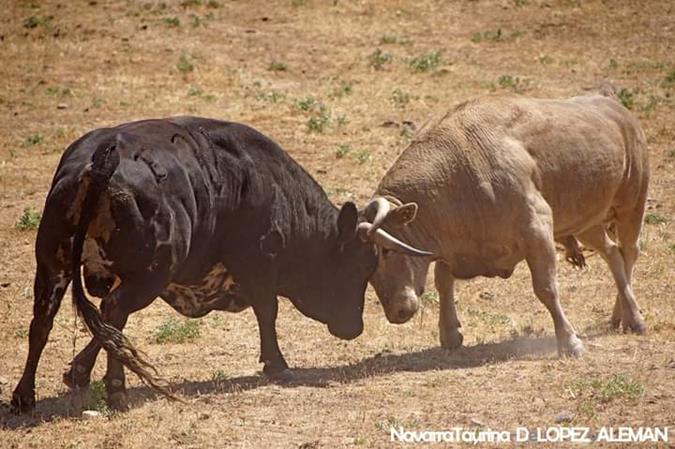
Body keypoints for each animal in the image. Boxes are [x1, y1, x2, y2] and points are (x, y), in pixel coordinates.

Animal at [11, 117, 434, 412]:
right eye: (359, 268)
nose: (354, 328)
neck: (271, 188)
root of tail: (104, 157)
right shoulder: (258, 262)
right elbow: (268, 309)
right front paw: (276, 363)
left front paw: (77, 371)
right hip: (150, 272)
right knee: (113, 312)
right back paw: (117, 391)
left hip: (52, 265)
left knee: (45, 322)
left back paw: (23, 396)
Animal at [364, 86, 648, 356]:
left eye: (387, 250)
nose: (396, 312)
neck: (458, 171)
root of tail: (617, 108)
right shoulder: (449, 248)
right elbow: (443, 282)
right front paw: (450, 333)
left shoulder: (538, 230)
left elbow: (546, 288)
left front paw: (569, 341)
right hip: (587, 224)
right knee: (612, 253)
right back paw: (619, 315)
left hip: (632, 204)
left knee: (629, 252)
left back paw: (633, 317)